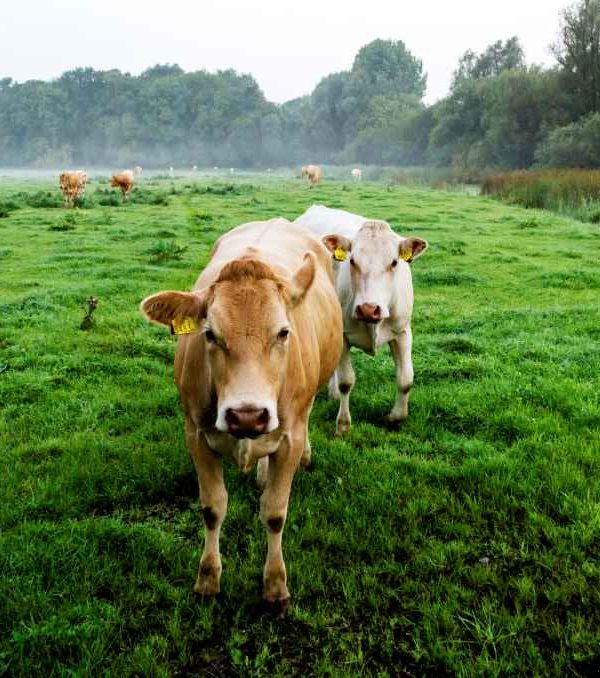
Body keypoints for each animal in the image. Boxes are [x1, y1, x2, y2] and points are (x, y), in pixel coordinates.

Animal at [140, 218, 343, 611]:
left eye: (283, 332)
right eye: (210, 334)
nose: (247, 416)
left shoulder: (290, 436)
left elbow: (275, 513)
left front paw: (276, 585)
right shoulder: (196, 435)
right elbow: (212, 507)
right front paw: (207, 579)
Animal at [295, 205, 428, 435]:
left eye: (394, 262)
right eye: (352, 261)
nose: (368, 309)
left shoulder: (402, 331)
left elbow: (405, 379)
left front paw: (396, 418)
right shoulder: (343, 335)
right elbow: (346, 381)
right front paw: (342, 425)